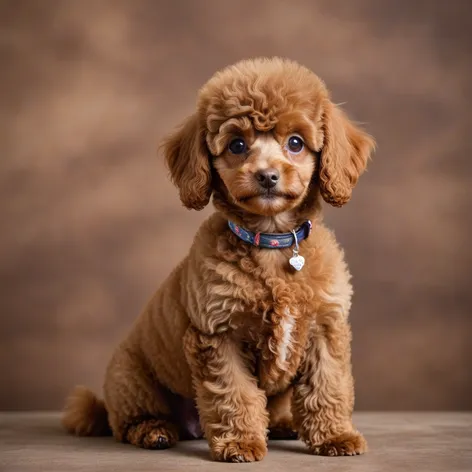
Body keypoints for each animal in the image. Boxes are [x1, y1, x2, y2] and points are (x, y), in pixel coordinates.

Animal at [62, 57, 374, 462]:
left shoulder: (324, 328)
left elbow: (328, 385)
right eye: (237, 144)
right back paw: (154, 431)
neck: (272, 244)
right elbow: (234, 394)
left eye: (295, 142)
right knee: (129, 422)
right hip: (131, 379)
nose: (267, 176)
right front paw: (240, 443)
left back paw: (283, 423)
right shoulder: (219, 335)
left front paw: (335, 436)